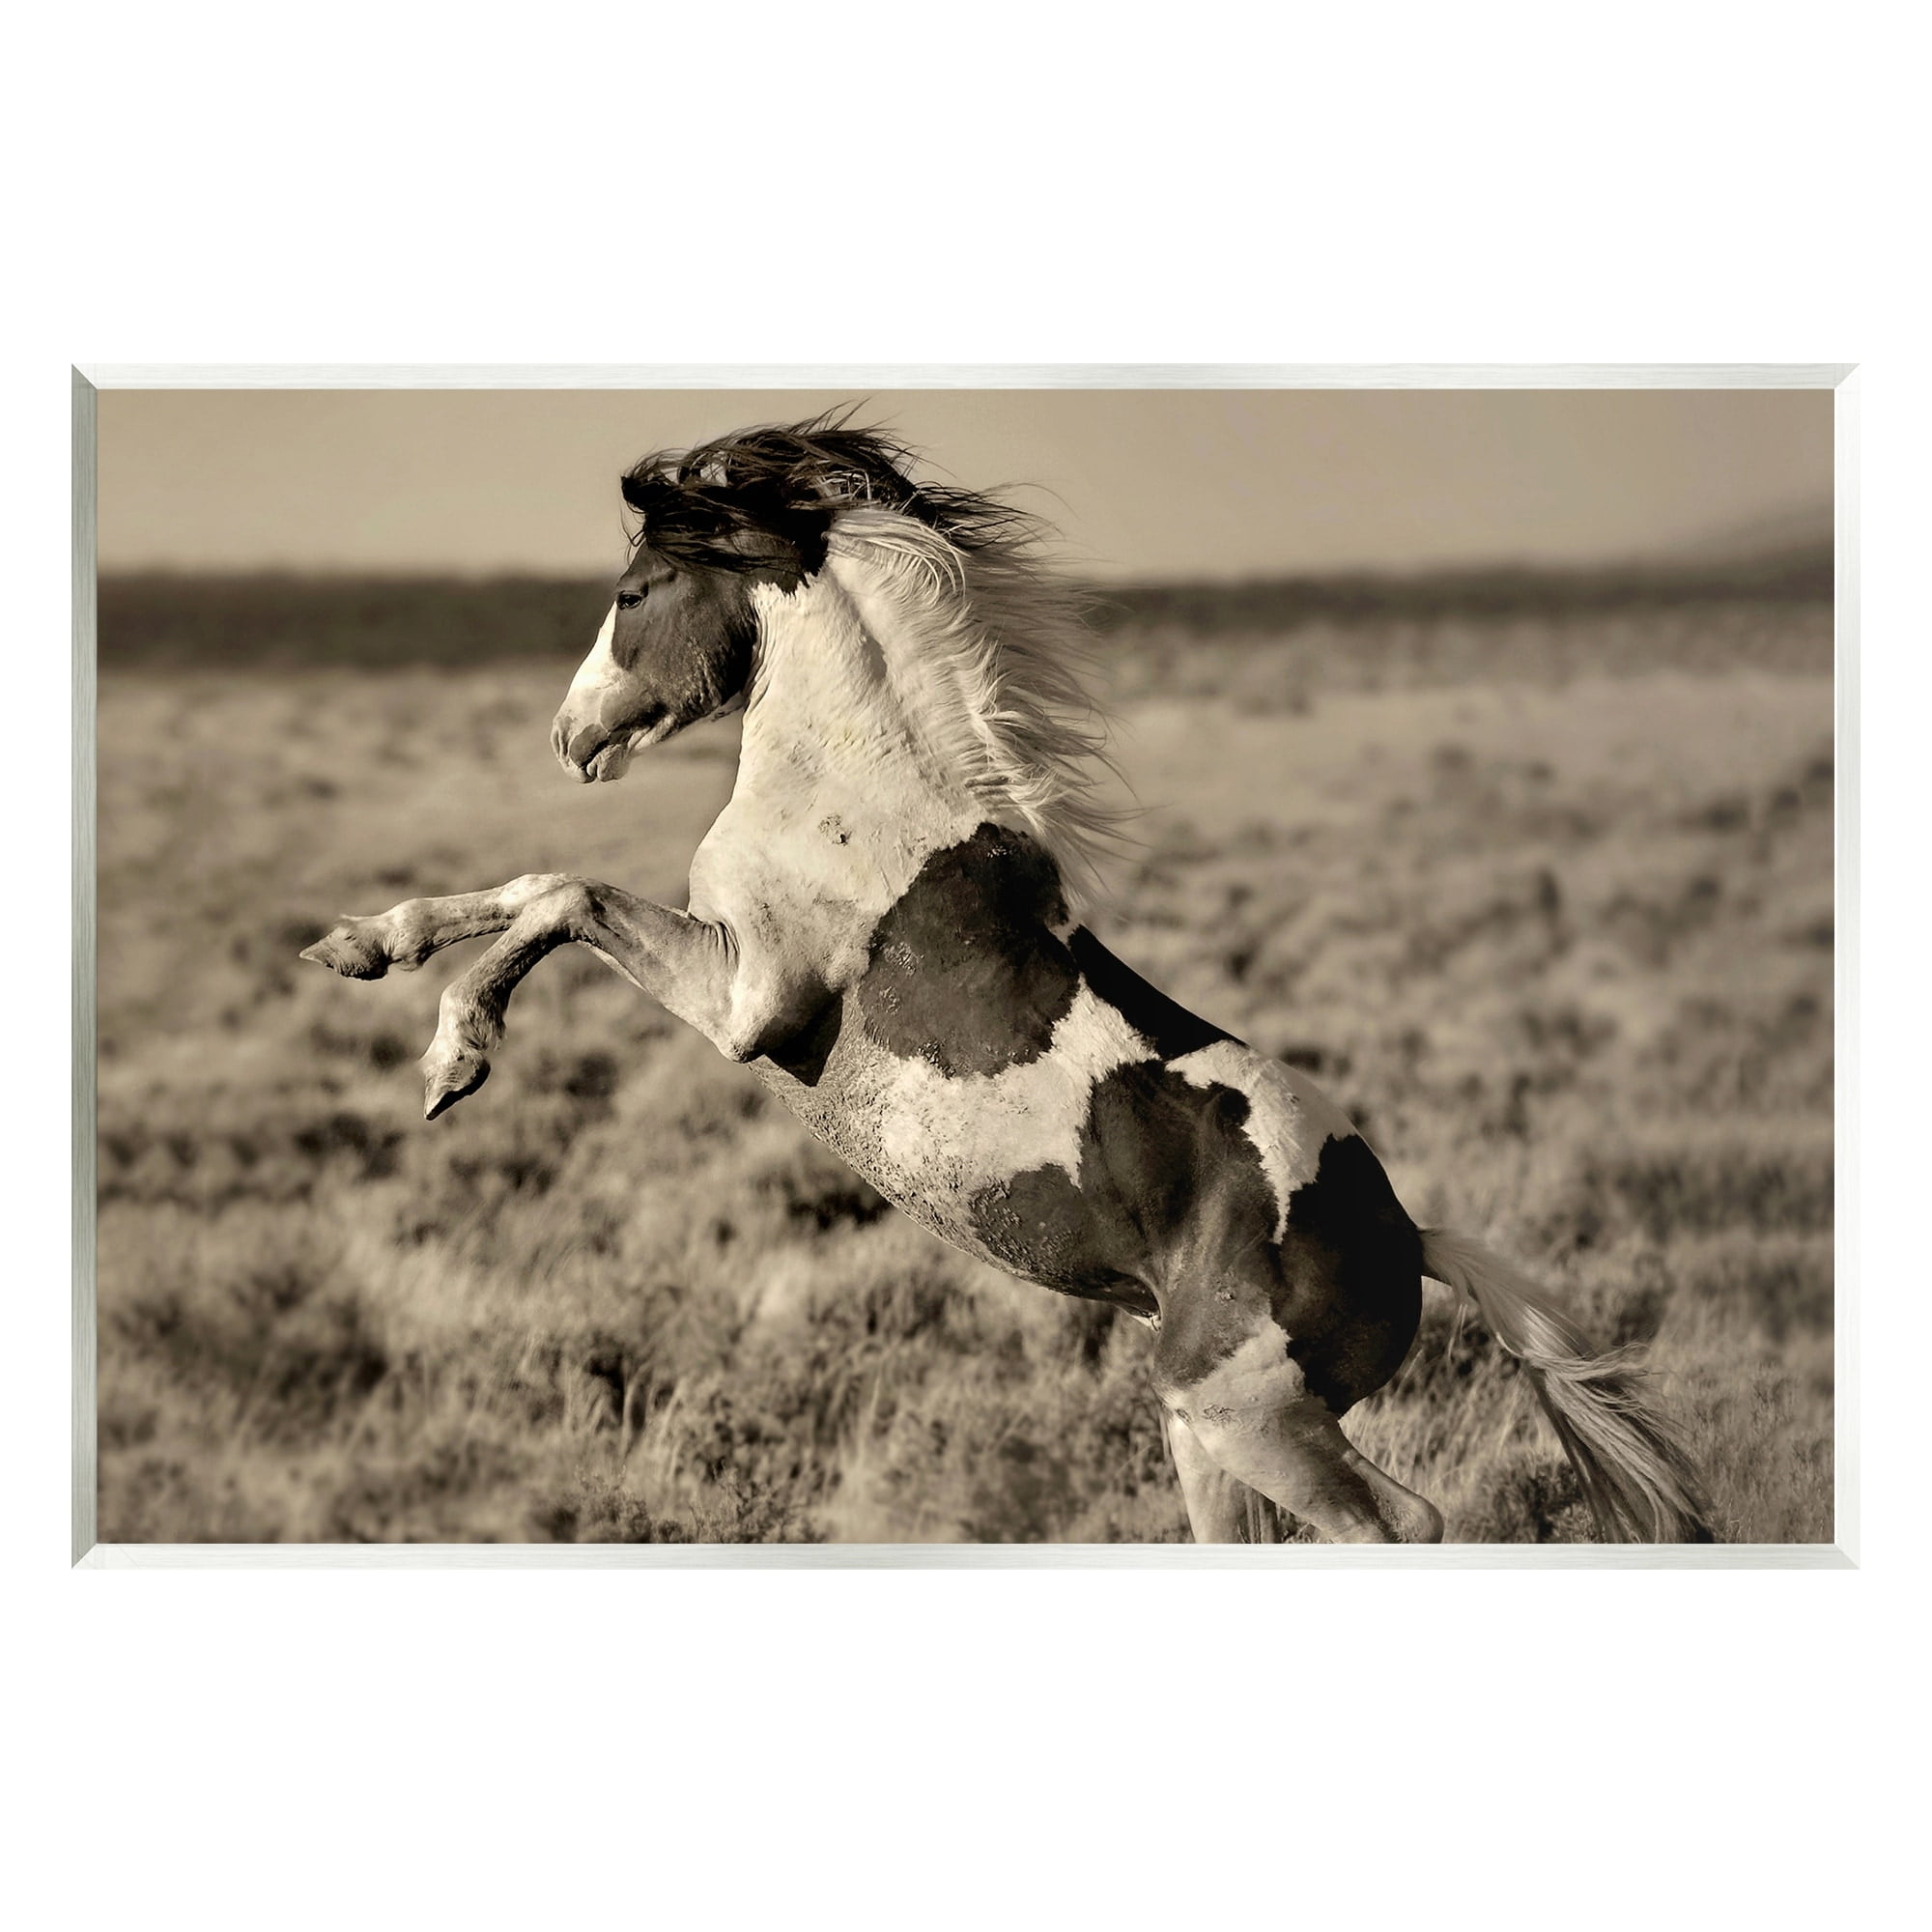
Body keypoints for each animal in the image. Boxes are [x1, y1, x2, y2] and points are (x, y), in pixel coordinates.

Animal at [301, 415, 1712, 1545]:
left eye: (637, 586)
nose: (571, 736)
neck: (861, 792)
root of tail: (1407, 1236)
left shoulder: (748, 1001)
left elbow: (562, 896)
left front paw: (453, 1057)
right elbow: (529, 885)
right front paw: (361, 944)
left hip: (1249, 1416)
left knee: (1407, 1525)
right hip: (1202, 1436)